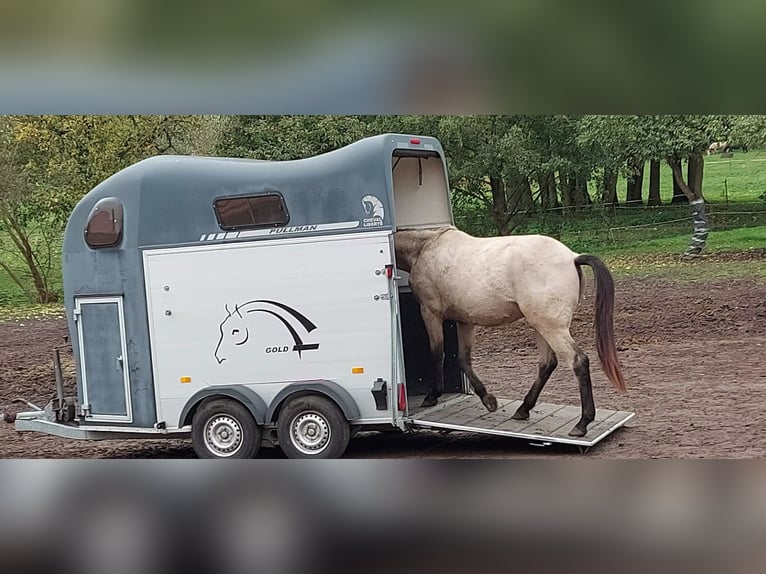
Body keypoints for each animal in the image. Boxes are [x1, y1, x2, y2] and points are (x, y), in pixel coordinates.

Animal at [393, 226, 626, 437]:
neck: (425, 247)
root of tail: (572, 257)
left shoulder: (430, 312)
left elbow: (437, 354)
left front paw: (432, 396)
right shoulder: (464, 320)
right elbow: (463, 359)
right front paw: (488, 400)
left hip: (551, 327)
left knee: (578, 361)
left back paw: (582, 423)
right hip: (541, 325)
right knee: (547, 364)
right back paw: (523, 410)